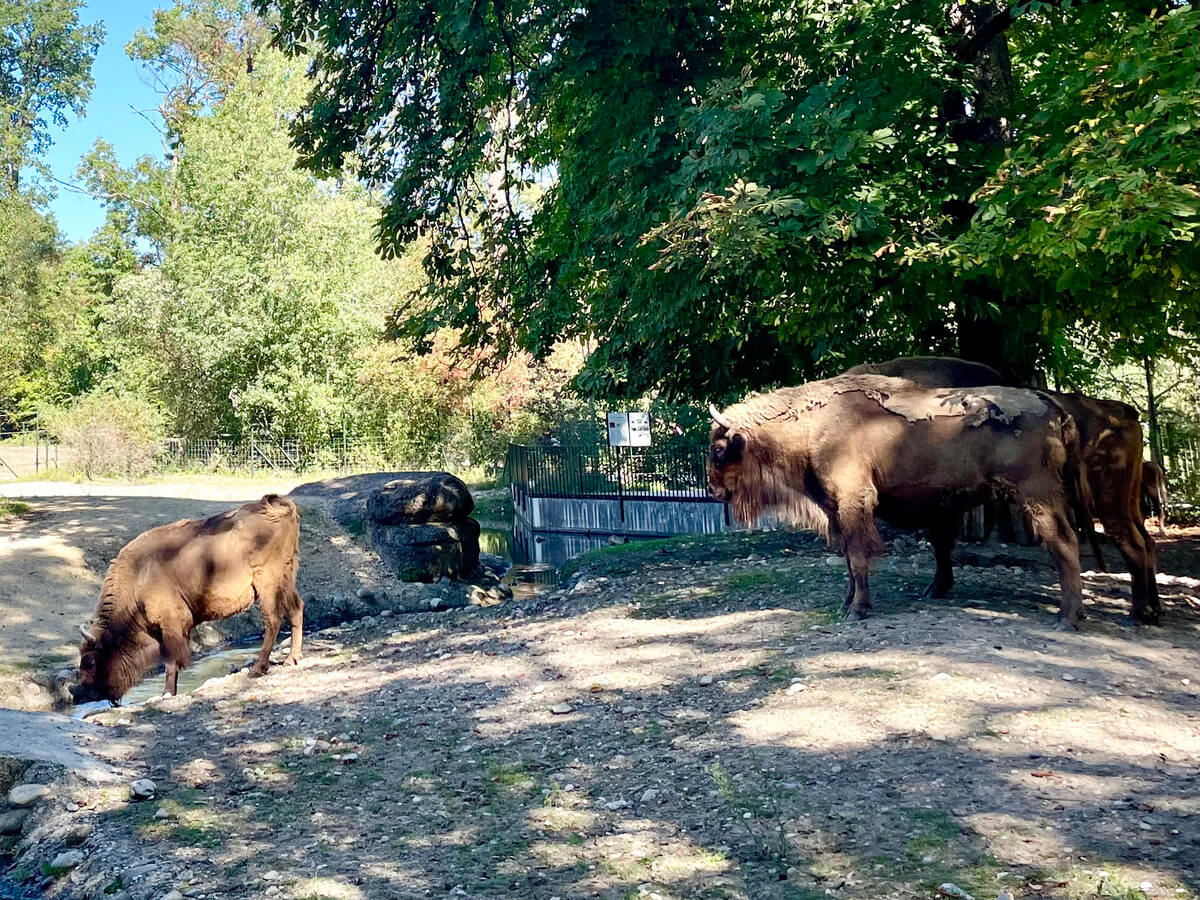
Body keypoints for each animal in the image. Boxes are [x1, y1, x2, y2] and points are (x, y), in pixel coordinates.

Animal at [73, 494, 304, 705]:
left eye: (90, 661)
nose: (81, 693)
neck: (138, 575)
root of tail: (273, 506)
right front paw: (170, 691)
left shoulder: (172, 625)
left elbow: (171, 661)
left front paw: (166, 693)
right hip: (286, 579)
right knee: (296, 608)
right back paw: (292, 659)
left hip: (268, 584)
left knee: (273, 619)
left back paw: (258, 668)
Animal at [705, 376, 1094, 628]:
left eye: (719, 449)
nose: (714, 491)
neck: (812, 424)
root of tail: (1054, 406)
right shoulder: (837, 509)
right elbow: (848, 560)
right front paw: (847, 602)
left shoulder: (854, 501)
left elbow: (858, 557)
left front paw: (858, 610)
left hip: (1037, 495)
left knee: (1064, 543)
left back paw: (1067, 618)